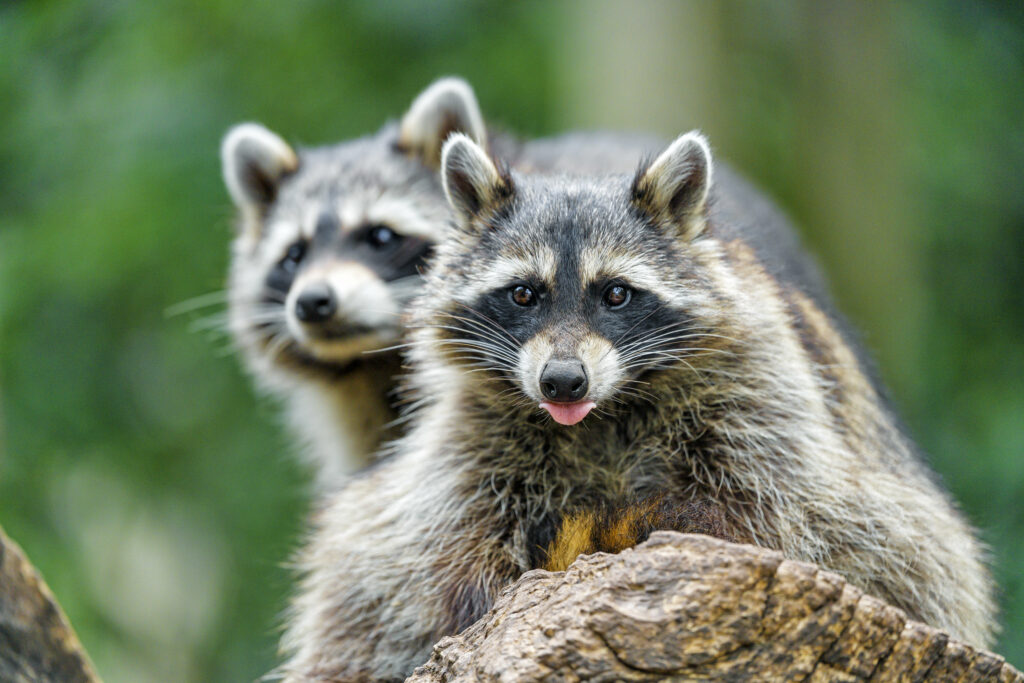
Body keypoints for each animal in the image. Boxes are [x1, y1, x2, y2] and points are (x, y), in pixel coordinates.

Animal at [279, 131, 995, 681]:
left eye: (616, 294)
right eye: (523, 294)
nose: (562, 382)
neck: (604, 415)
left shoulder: (761, 394)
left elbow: (800, 517)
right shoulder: (472, 434)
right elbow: (424, 548)